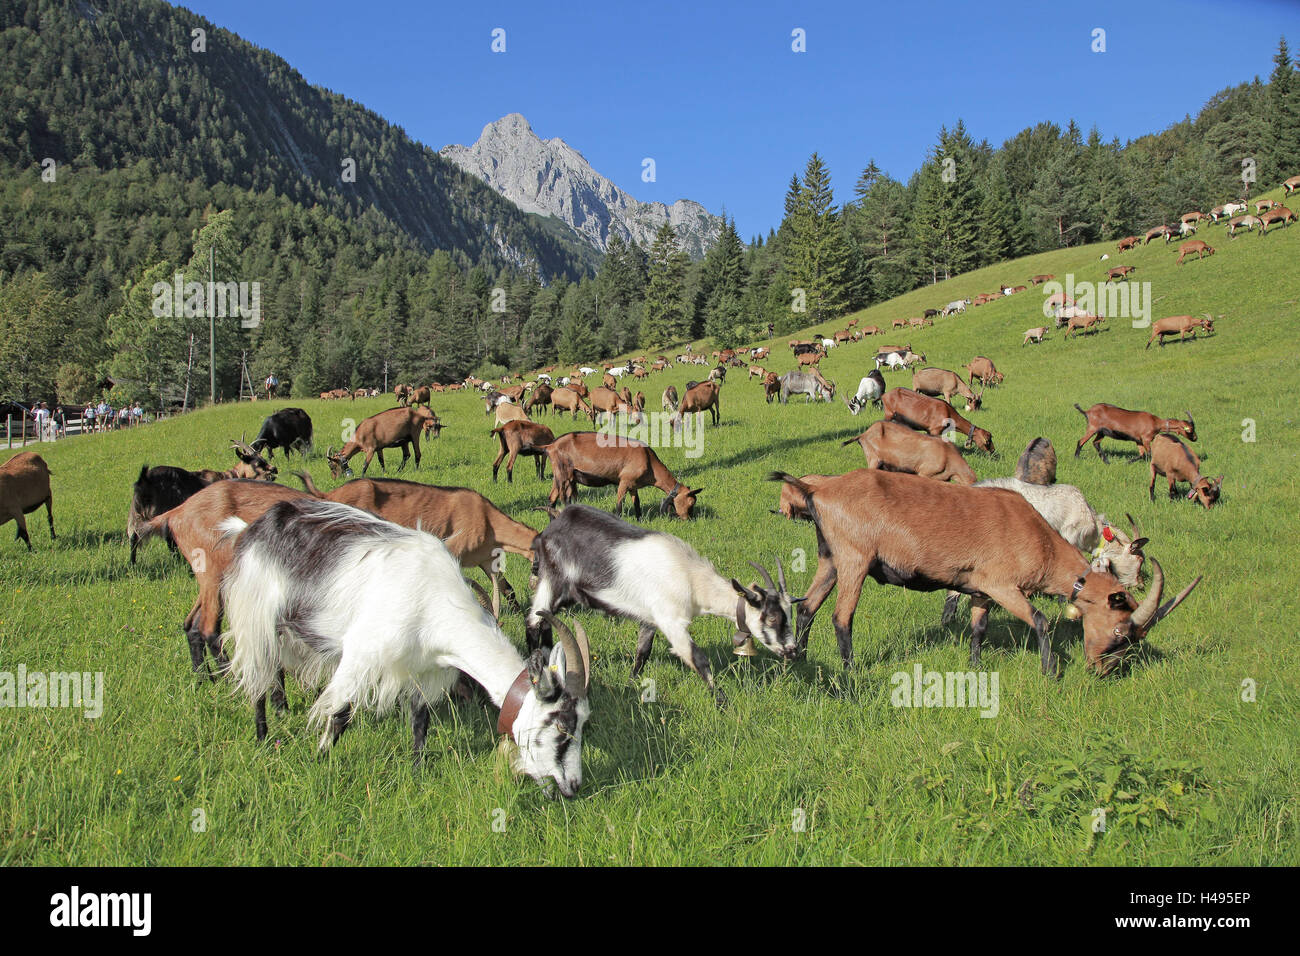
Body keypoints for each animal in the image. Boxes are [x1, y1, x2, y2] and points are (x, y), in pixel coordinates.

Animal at [220, 496, 592, 796]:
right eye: (561, 726)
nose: (573, 786)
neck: (432, 602)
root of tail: (254, 527)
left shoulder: (425, 668)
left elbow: (419, 721)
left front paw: (417, 771)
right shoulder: (362, 654)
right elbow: (339, 714)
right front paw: (320, 757)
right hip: (254, 615)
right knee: (257, 677)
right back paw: (263, 736)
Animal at [522, 504, 795, 707]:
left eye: (788, 615)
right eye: (771, 618)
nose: (792, 650)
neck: (692, 578)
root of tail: (550, 528)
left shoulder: (650, 618)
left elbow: (643, 652)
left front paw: (631, 683)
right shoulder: (671, 620)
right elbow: (698, 659)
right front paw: (722, 702)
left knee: (545, 621)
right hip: (552, 579)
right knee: (533, 620)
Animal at [540, 431, 702, 520]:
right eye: (690, 503)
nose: (689, 519)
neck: (649, 461)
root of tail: (550, 446)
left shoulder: (633, 485)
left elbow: (637, 503)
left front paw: (640, 520)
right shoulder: (623, 481)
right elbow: (619, 505)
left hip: (559, 475)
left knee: (551, 499)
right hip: (564, 474)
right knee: (563, 499)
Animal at [759, 470, 1196, 671]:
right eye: (1122, 631)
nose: (1103, 671)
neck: (1037, 535)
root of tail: (819, 489)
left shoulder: (981, 589)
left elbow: (979, 628)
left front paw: (974, 666)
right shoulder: (1003, 584)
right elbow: (1039, 619)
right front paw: (1050, 671)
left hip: (830, 557)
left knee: (808, 606)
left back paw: (800, 659)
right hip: (855, 558)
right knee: (841, 616)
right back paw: (849, 673)